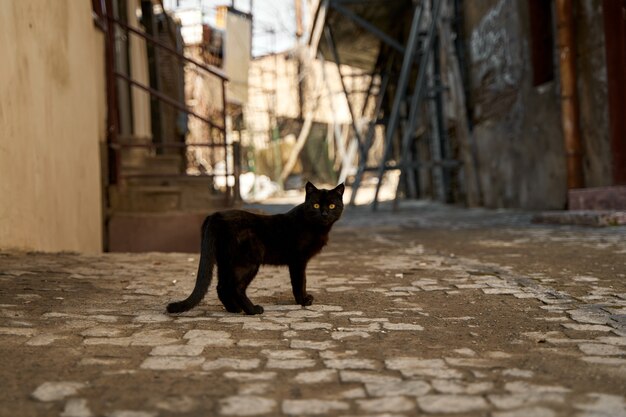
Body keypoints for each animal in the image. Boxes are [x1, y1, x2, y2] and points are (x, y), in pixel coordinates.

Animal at [166, 180, 344, 314]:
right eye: (315, 205)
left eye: (332, 206)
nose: (324, 214)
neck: (318, 228)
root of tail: (216, 215)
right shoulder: (298, 260)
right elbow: (301, 282)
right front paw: (303, 301)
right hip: (248, 262)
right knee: (236, 287)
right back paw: (252, 310)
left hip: (225, 261)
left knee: (222, 286)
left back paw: (234, 309)